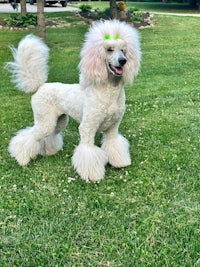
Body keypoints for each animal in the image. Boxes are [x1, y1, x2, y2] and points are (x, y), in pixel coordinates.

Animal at [6, 18, 141, 182]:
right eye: (109, 50)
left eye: (123, 50)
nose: (123, 61)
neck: (109, 93)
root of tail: (40, 86)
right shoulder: (88, 127)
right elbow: (88, 151)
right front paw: (92, 175)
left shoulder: (113, 128)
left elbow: (113, 144)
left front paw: (119, 163)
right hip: (45, 121)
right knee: (29, 137)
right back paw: (21, 158)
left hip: (58, 121)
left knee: (47, 137)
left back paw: (48, 151)